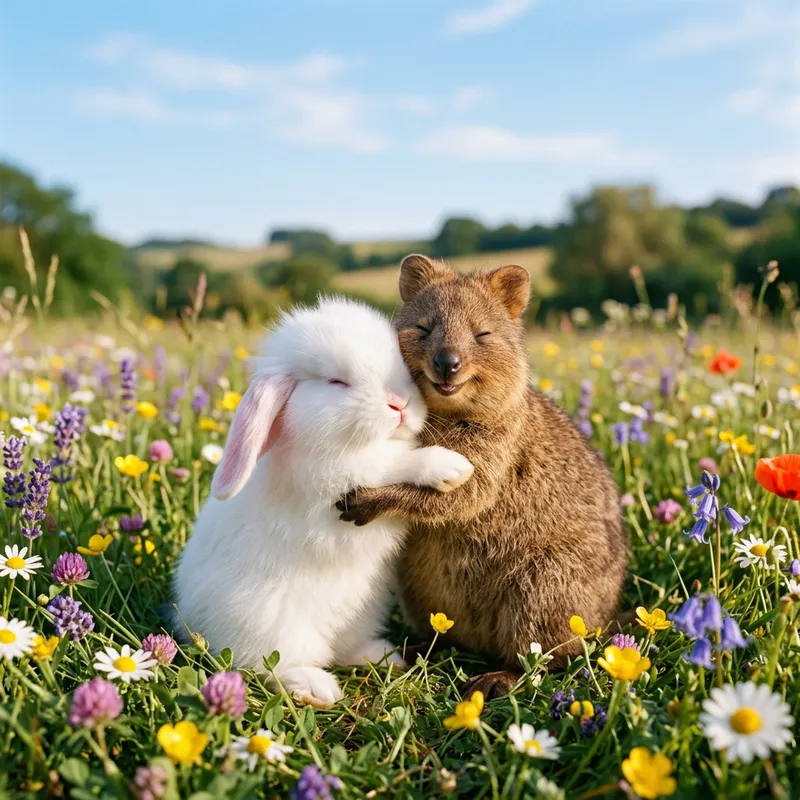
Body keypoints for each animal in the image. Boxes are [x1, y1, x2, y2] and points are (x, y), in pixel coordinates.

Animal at [173, 297, 474, 708]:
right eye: (336, 382)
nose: (399, 404)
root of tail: (192, 619)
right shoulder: (335, 477)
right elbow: (389, 463)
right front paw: (451, 466)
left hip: (362, 610)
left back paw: (382, 655)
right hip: (269, 623)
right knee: (270, 665)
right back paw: (317, 688)